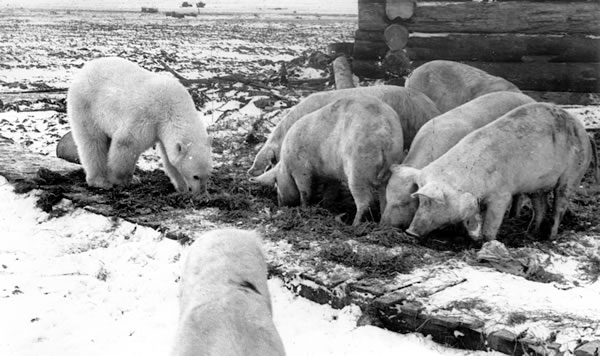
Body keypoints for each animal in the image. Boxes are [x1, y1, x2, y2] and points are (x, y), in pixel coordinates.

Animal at [67, 56, 212, 193]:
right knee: (93, 142)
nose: (201, 193)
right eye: (195, 176)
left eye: (207, 175)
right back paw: (100, 181)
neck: (171, 106)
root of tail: (83, 70)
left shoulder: (162, 130)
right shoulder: (147, 116)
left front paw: (181, 187)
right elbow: (127, 142)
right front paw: (123, 180)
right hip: (87, 106)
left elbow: (169, 159)